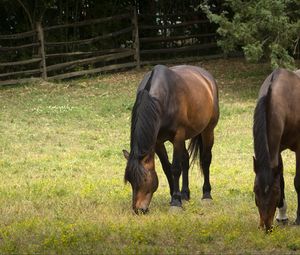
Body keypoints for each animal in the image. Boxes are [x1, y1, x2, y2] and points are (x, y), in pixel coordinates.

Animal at [123, 64, 219, 214]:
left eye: (144, 179)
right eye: (130, 181)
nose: (138, 209)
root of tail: (207, 77)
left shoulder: (178, 136)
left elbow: (175, 168)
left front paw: (175, 202)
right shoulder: (157, 142)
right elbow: (167, 167)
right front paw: (175, 195)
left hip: (208, 130)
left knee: (205, 160)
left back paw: (206, 195)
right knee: (185, 160)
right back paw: (185, 194)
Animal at [253, 67, 300, 231]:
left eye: (274, 192)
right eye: (255, 191)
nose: (266, 227)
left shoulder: (299, 148)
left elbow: (297, 181)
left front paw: (298, 218)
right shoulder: (277, 149)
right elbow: (281, 180)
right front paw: (282, 216)